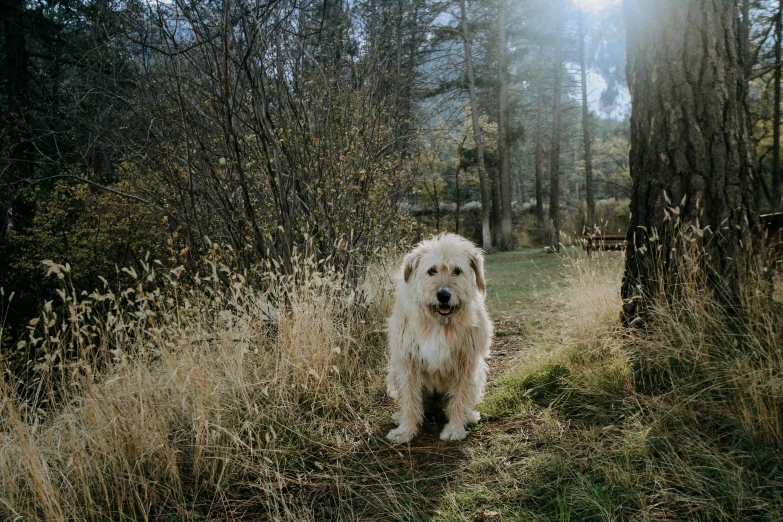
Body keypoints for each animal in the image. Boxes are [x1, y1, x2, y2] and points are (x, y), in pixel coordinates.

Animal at [388, 234, 494, 440]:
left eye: (457, 270)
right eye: (432, 270)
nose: (443, 295)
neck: (440, 323)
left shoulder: (466, 362)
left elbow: (460, 395)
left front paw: (455, 428)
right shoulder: (408, 360)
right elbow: (410, 398)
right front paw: (405, 430)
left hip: (478, 374)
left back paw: (468, 416)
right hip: (395, 371)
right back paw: (400, 416)